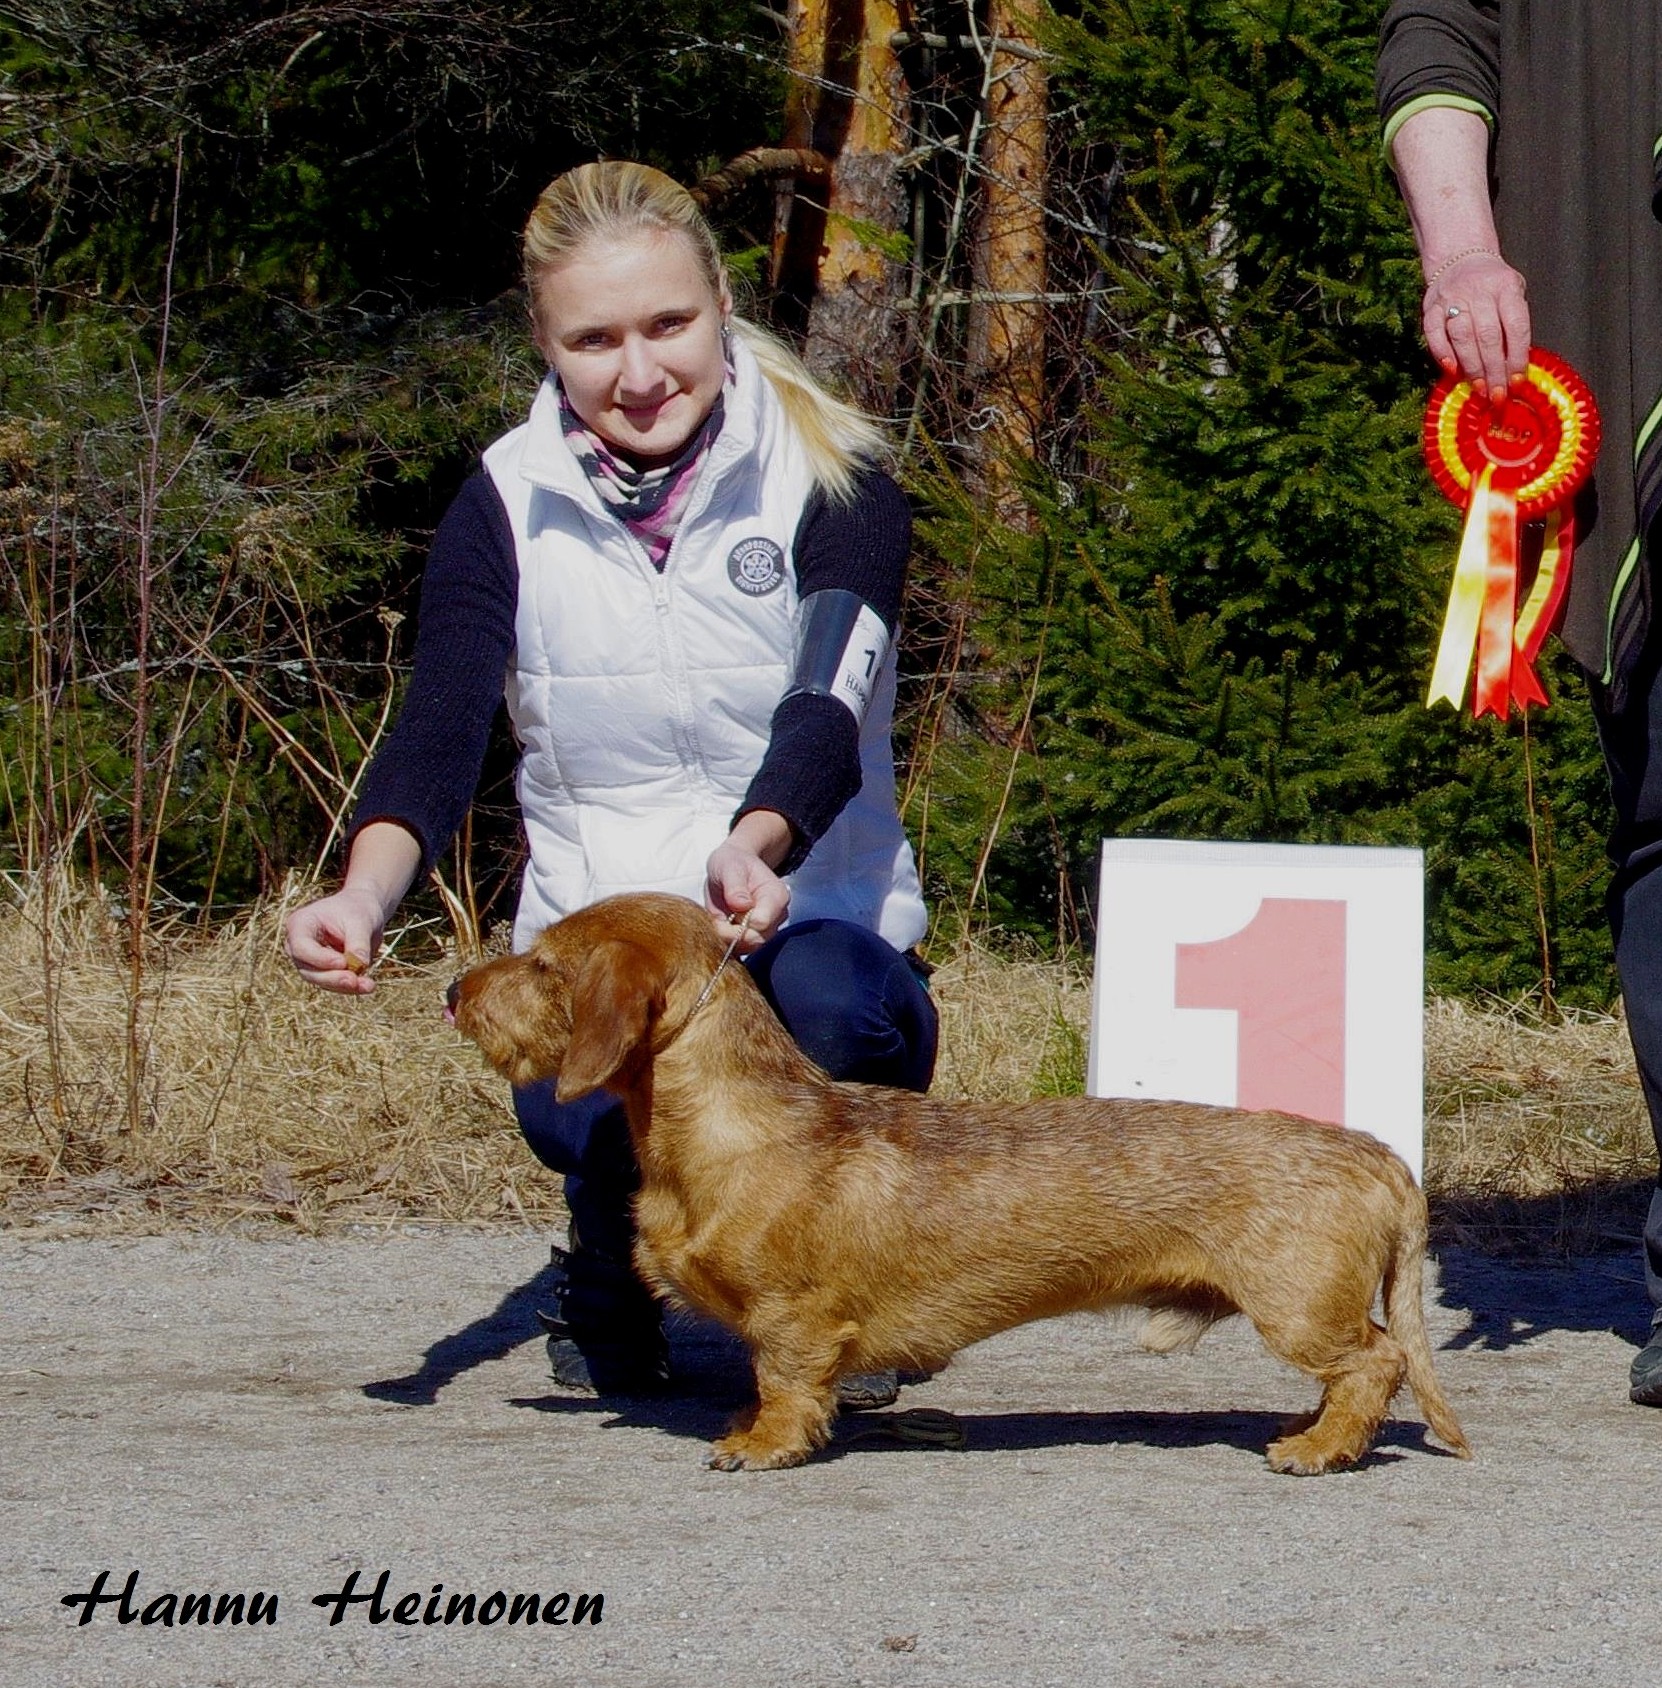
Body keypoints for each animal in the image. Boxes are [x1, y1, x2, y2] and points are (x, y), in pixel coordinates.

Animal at [449, 892, 1470, 1474]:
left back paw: (1319, 1448)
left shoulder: (792, 1318)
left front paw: (760, 1445)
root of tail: (1379, 1155)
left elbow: (784, 1381)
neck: (730, 1126)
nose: (455, 992)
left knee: (1376, 1363)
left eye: (546, 963)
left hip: (1296, 1308)